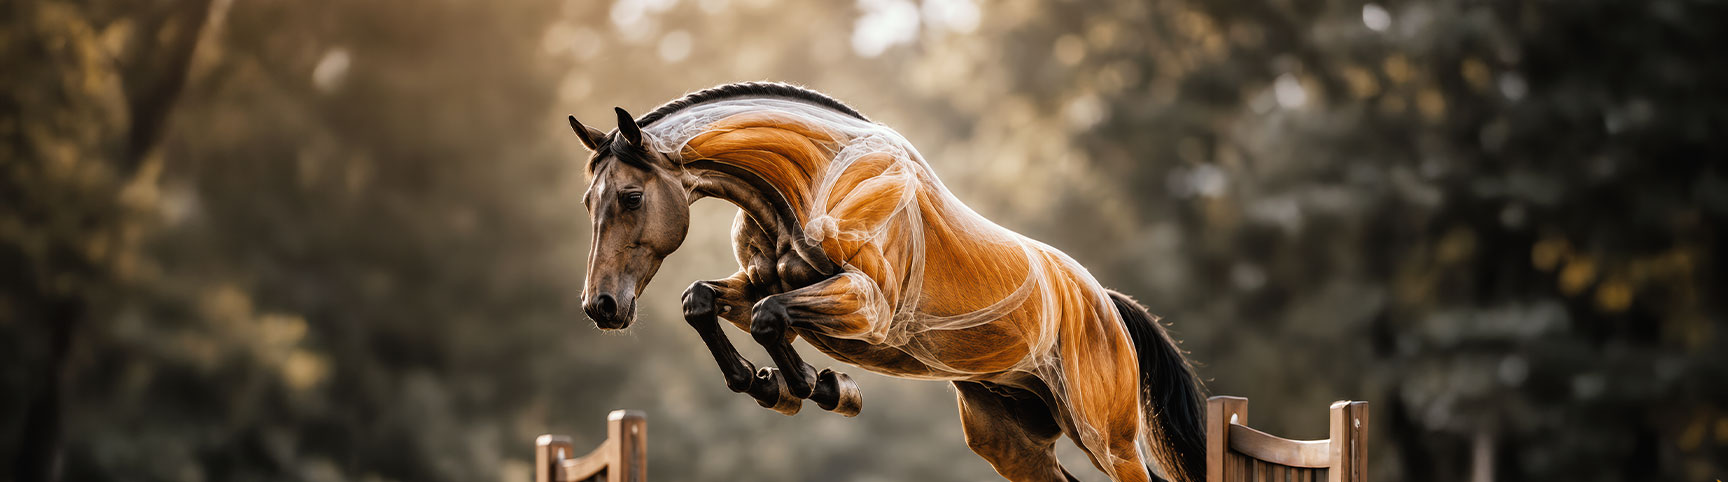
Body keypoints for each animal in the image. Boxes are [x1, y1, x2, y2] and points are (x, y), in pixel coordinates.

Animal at [570, 82, 1205, 482]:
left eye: (631, 197)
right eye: (588, 202)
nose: (602, 306)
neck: (808, 180)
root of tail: (1107, 305)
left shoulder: (866, 306)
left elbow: (771, 316)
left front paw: (819, 386)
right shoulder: (756, 283)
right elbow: (703, 301)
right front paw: (765, 383)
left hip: (1107, 439)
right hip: (1011, 442)